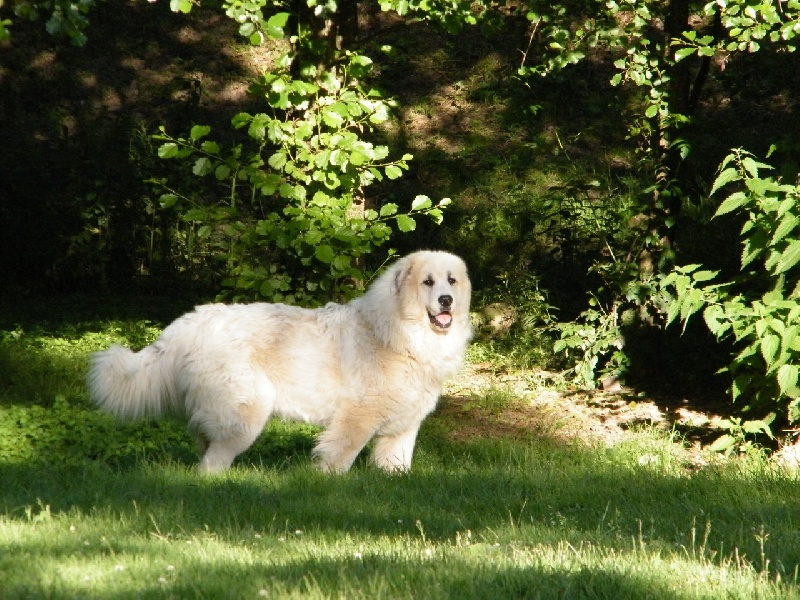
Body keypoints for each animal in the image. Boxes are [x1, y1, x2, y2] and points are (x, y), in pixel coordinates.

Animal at [87, 250, 472, 473]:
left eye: (451, 280)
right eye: (428, 282)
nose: (446, 300)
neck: (397, 332)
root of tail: (188, 323)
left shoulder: (403, 426)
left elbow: (397, 465)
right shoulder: (357, 418)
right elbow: (340, 455)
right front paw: (329, 484)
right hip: (244, 411)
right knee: (212, 462)